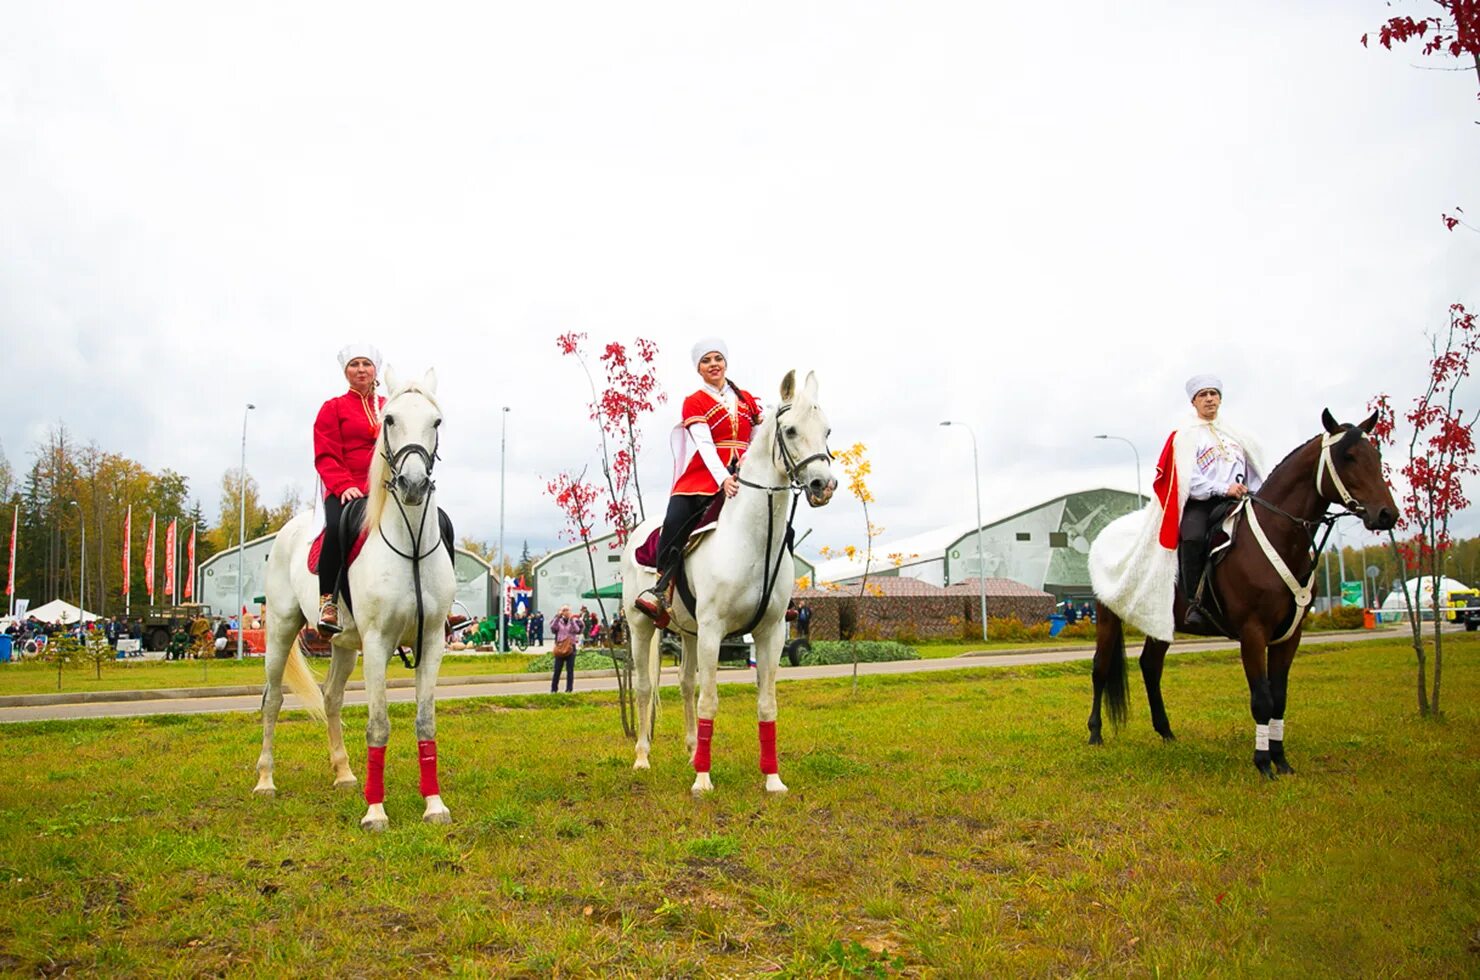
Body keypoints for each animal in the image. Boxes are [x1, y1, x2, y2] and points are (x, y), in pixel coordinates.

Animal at [253, 367, 455, 829]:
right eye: (390, 420)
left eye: (436, 422)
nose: (413, 485)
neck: (410, 544)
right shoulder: (378, 644)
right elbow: (378, 725)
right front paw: (375, 812)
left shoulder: (432, 642)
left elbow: (426, 723)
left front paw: (434, 805)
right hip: (280, 632)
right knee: (272, 700)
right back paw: (266, 781)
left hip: (344, 645)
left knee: (331, 698)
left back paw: (344, 774)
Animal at [618, 368, 840, 799]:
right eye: (790, 430)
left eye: (826, 430)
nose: (824, 485)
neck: (751, 538)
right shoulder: (712, 631)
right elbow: (710, 701)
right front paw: (703, 781)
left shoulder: (771, 632)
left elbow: (766, 704)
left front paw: (772, 779)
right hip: (642, 627)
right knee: (644, 687)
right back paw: (642, 758)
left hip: (687, 633)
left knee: (685, 684)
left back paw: (691, 751)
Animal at [1089, 411, 1397, 781]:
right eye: (1347, 457)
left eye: (1376, 456)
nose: (1386, 514)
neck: (1279, 537)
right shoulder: (1253, 632)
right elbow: (1262, 698)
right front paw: (1263, 763)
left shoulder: (1289, 635)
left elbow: (1279, 697)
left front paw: (1281, 760)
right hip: (1108, 615)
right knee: (1100, 668)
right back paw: (1095, 733)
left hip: (1160, 620)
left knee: (1151, 666)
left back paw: (1166, 733)